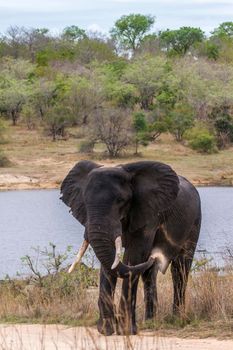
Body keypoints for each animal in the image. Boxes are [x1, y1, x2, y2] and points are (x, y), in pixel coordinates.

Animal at [61, 160, 201, 334]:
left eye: (121, 200)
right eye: (85, 202)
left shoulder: (148, 214)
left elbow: (134, 256)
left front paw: (126, 331)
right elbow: (110, 262)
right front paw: (106, 330)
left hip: (194, 222)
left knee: (180, 269)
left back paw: (177, 318)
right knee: (149, 273)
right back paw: (150, 321)